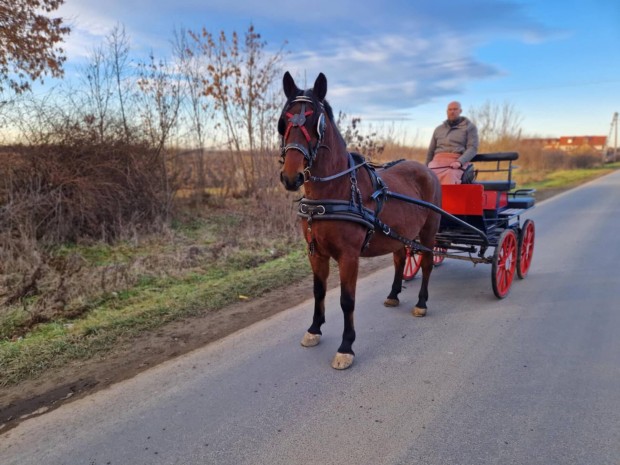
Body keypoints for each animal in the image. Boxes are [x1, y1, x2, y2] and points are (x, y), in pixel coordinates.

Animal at [276, 71, 440, 370]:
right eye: (284, 121)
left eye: (316, 122)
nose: (292, 176)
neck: (335, 190)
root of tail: (427, 170)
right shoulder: (315, 252)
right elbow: (319, 291)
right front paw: (314, 329)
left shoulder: (348, 256)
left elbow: (347, 300)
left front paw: (346, 346)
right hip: (400, 233)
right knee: (401, 259)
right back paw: (393, 294)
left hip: (428, 230)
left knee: (427, 262)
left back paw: (421, 302)